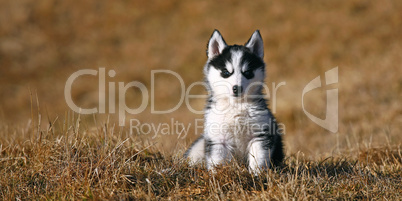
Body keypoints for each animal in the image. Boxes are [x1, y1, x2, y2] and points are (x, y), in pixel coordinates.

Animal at [185, 29, 282, 174]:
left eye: (248, 72)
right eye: (226, 72)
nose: (237, 88)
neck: (236, 106)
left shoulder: (260, 135)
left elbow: (258, 160)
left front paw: (257, 175)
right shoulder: (218, 140)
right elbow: (217, 162)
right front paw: (217, 176)